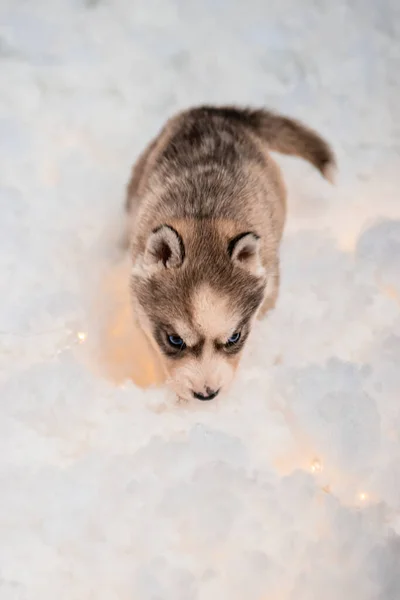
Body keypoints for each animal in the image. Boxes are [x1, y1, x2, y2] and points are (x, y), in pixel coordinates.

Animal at [126, 106, 334, 400]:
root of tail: (217, 111)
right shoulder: (140, 310)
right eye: (175, 340)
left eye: (234, 337)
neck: (205, 222)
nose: (207, 395)